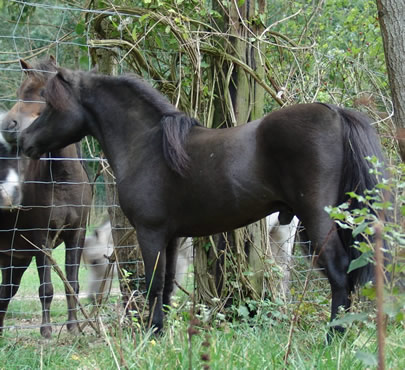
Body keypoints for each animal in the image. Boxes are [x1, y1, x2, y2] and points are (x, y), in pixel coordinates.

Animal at [0, 59, 91, 340]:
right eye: (19, 91)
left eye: (42, 92)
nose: (8, 126)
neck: (63, 179)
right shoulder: (42, 238)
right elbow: (46, 288)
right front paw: (47, 331)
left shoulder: (76, 235)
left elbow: (72, 283)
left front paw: (73, 327)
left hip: (14, 258)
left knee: (5, 292)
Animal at [15, 64, 386, 338]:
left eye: (48, 104)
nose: (23, 140)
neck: (147, 145)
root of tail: (333, 112)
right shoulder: (172, 237)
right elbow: (166, 288)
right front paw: (159, 334)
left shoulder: (150, 233)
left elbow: (152, 284)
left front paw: (150, 336)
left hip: (318, 219)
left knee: (339, 272)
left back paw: (334, 336)